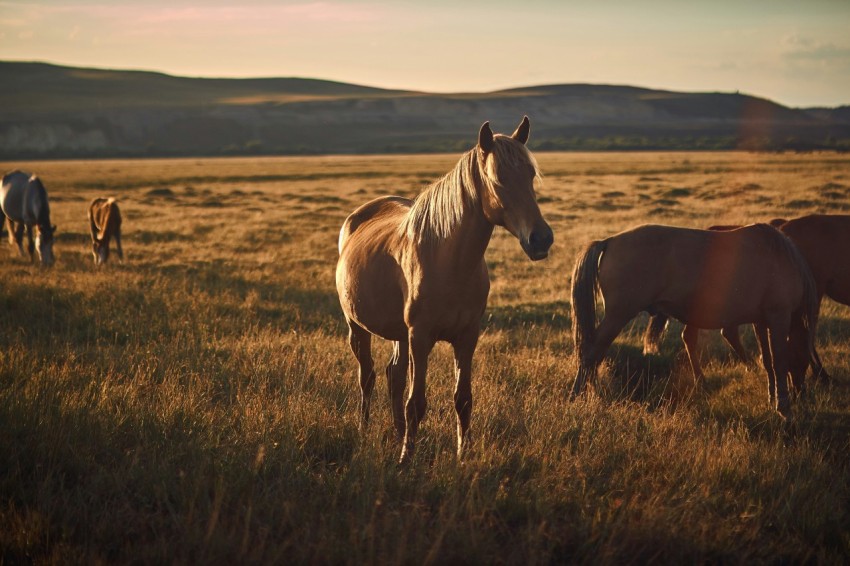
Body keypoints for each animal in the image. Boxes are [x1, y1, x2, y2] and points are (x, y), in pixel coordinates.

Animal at [334, 116, 552, 466]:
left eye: (530, 175)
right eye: (498, 178)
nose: (541, 238)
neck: (449, 262)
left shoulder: (466, 337)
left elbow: (462, 399)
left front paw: (463, 455)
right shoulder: (420, 337)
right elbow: (416, 403)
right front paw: (406, 460)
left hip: (399, 334)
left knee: (394, 375)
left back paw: (398, 433)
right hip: (358, 327)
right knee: (367, 376)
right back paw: (364, 430)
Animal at [568, 222, 820, 422]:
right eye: (803, 358)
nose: (802, 393)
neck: (781, 258)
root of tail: (609, 241)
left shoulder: (761, 321)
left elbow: (768, 360)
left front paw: (772, 397)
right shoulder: (778, 317)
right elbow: (778, 361)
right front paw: (784, 408)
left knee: (595, 355)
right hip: (618, 315)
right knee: (590, 355)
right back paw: (575, 397)